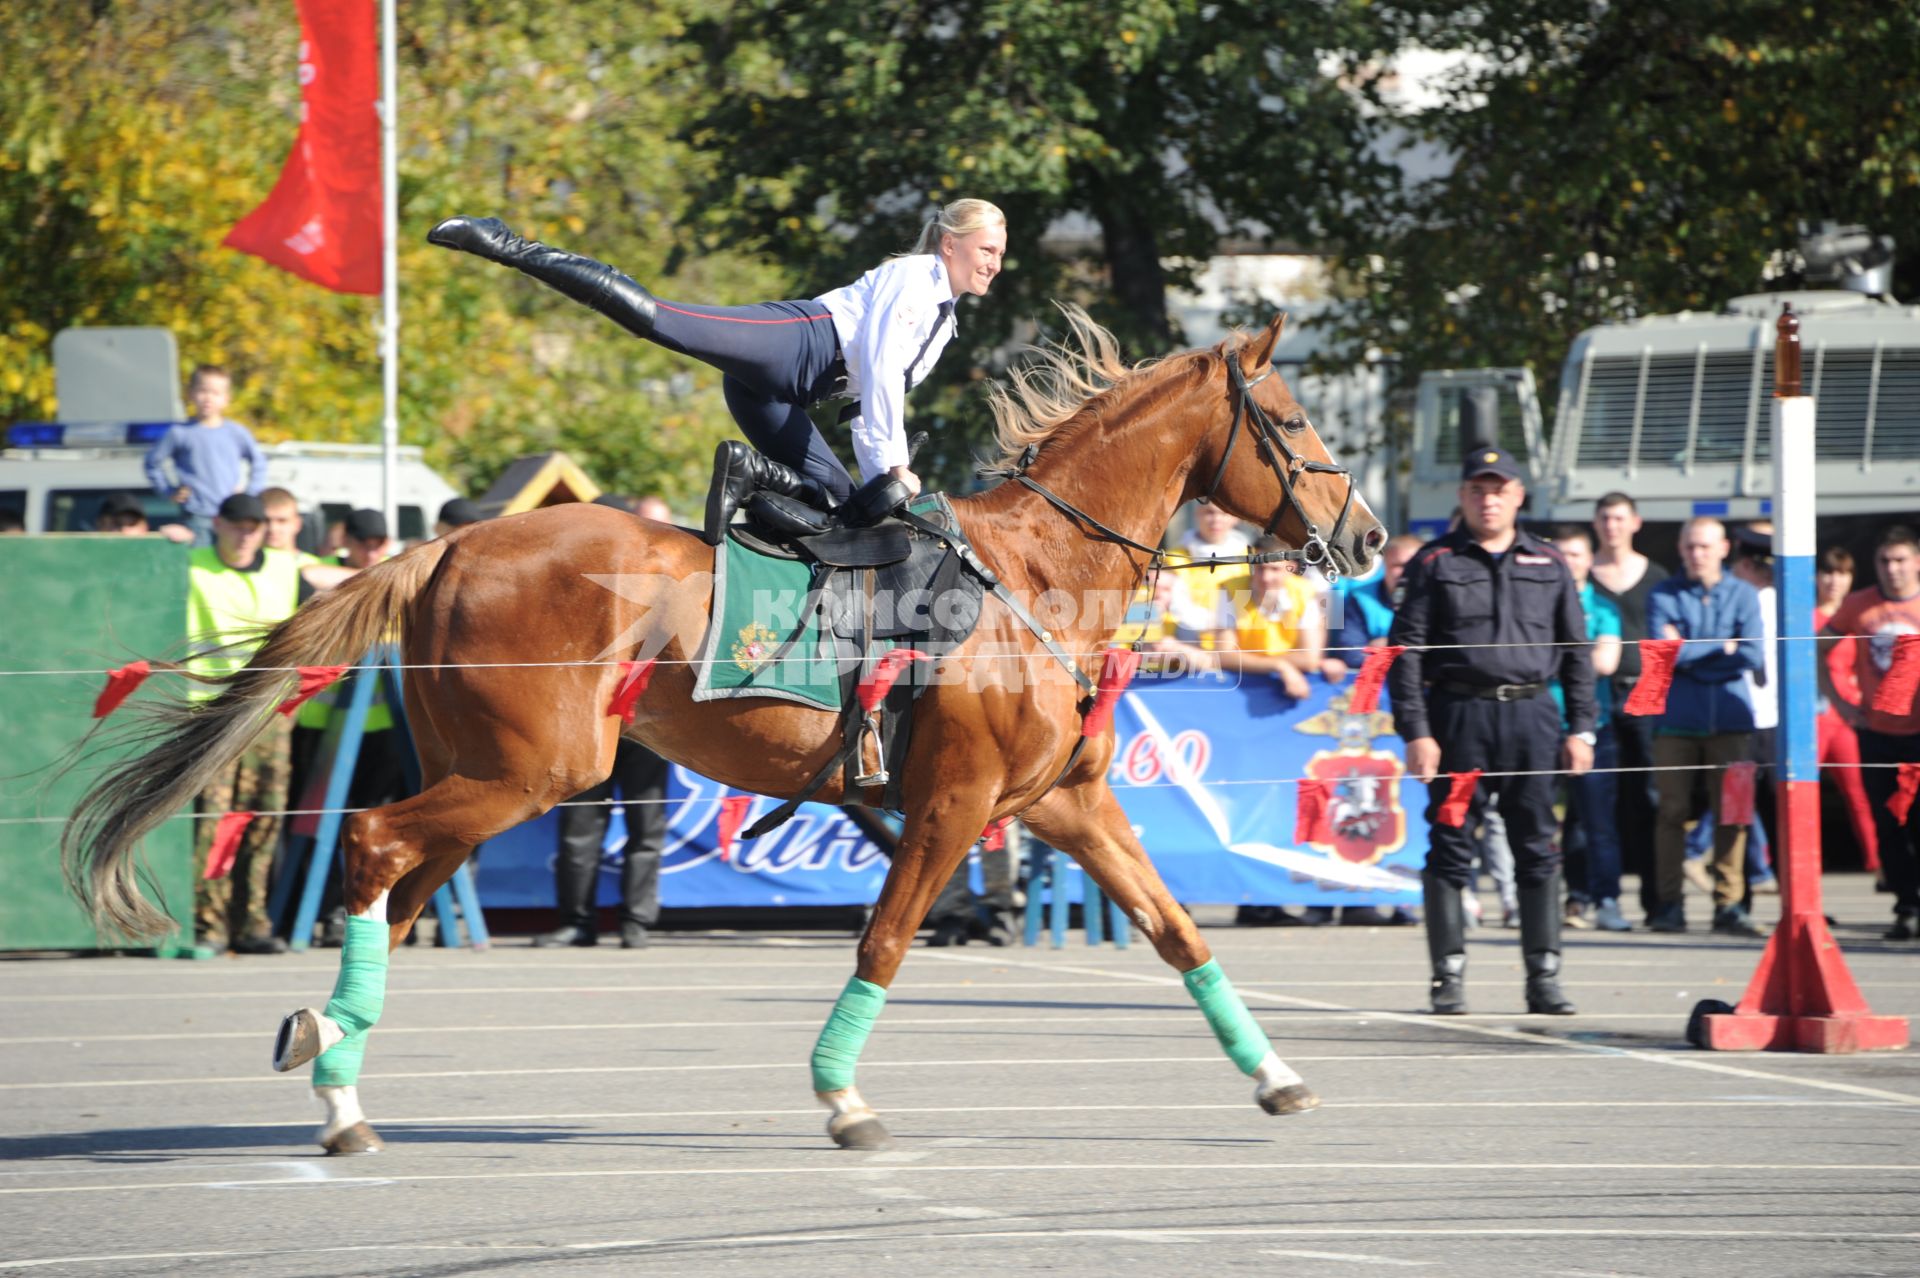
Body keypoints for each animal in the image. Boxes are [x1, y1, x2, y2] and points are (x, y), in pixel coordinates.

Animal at [60, 310, 1382, 1151]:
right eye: (1289, 419)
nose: (1368, 538)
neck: (1033, 573)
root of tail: (443, 546)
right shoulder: (951, 808)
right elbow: (885, 944)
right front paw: (841, 1099)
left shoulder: (1064, 802)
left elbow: (1174, 931)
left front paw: (1276, 1076)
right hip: (537, 773)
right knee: (376, 846)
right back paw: (336, 1088)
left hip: (491, 775)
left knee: (392, 878)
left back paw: (332, 1049)